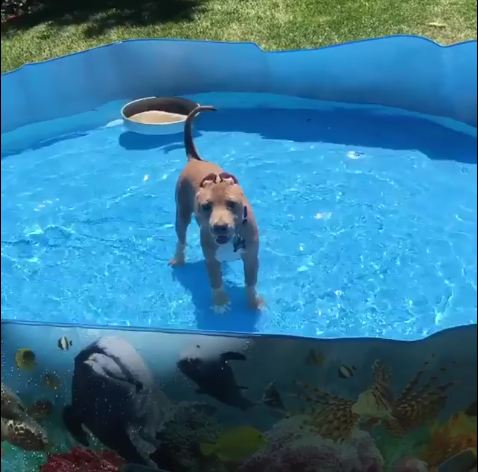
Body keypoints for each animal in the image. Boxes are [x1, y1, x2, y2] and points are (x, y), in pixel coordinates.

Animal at [169, 107, 264, 314]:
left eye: (232, 204)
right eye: (206, 206)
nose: (220, 227)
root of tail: (194, 159)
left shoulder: (251, 258)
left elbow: (250, 283)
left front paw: (253, 302)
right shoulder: (211, 260)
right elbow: (216, 282)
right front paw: (220, 302)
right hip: (181, 213)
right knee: (181, 239)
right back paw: (178, 259)